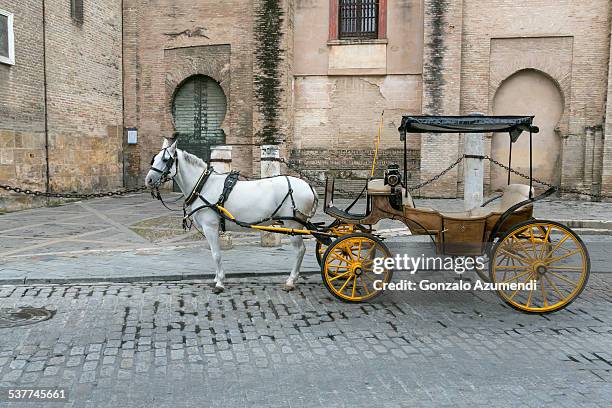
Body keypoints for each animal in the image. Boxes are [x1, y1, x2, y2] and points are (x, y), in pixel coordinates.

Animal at [145, 139, 318, 294]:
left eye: (165, 160)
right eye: (154, 158)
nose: (148, 180)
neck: (203, 186)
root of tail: (309, 186)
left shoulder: (210, 227)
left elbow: (216, 254)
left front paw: (220, 282)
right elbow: (215, 253)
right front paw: (217, 278)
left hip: (293, 226)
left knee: (300, 250)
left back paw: (291, 280)